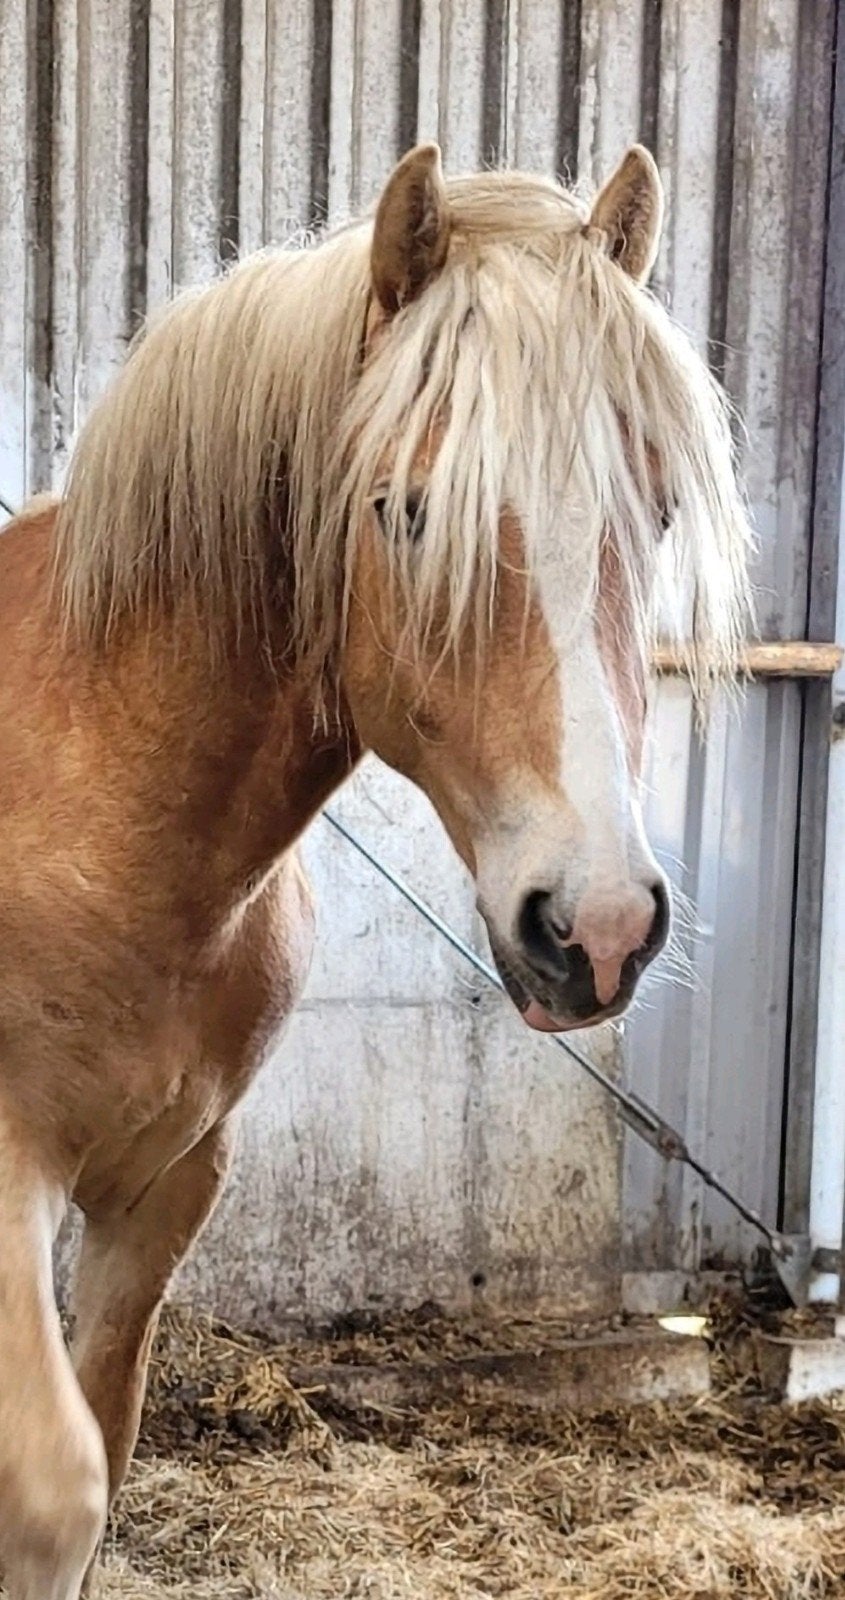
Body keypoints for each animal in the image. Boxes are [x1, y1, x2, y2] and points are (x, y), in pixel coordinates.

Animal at [0, 141, 752, 1598]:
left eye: (655, 511)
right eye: (403, 512)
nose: (599, 925)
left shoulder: (164, 1184)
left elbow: (97, 1452)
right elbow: (53, 1488)